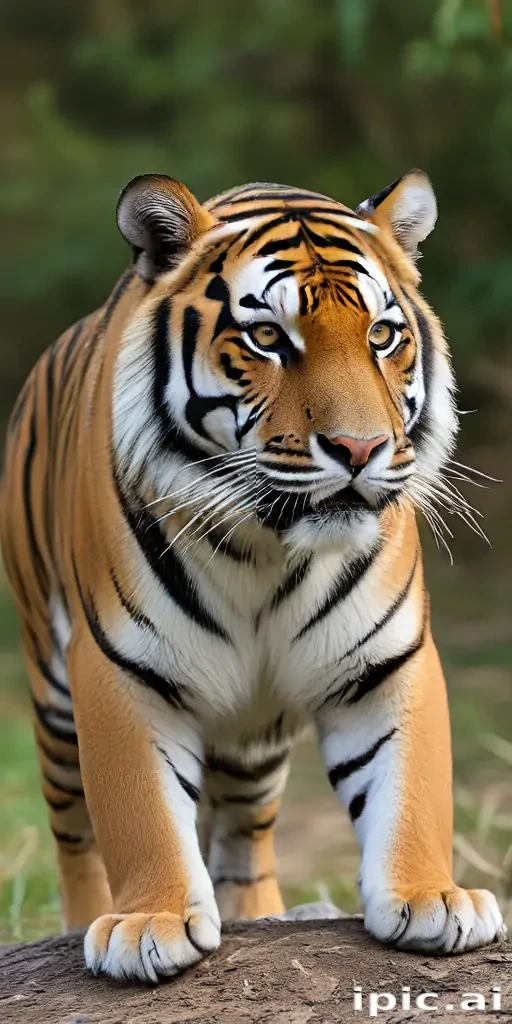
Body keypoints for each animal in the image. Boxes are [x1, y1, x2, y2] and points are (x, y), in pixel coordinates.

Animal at [1, 169, 506, 982]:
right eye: (266, 337)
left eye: (382, 335)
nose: (360, 449)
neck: (267, 549)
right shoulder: (117, 666)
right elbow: (140, 810)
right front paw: (150, 922)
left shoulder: (387, 659)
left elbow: (412, 787)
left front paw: (434, 897)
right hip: (50, 692)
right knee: (73, 827)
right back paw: (82, 918)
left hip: (254, 739)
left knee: (242, 834)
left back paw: (266, 916)